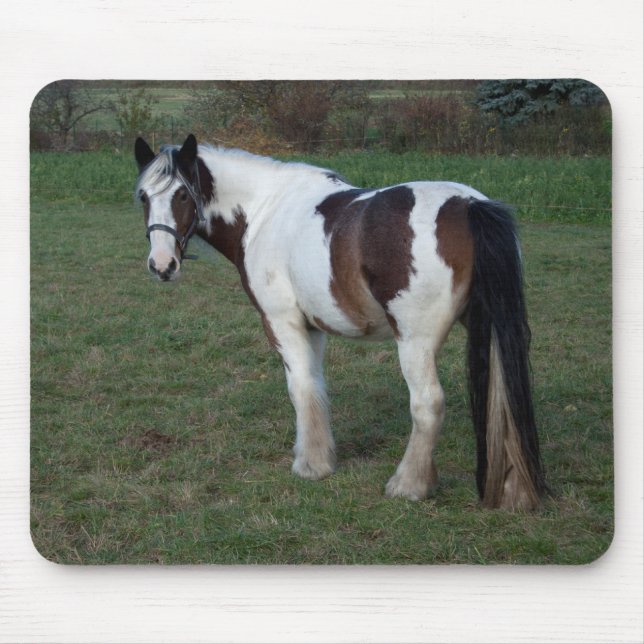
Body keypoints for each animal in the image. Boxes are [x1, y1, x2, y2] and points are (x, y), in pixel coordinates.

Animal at [134, 133, 546, 510]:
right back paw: (514, 492)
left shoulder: (282, 322)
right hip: (489, 329)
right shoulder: (313, 326)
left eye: (182, 195)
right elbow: (315, 386)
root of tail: (471, 205)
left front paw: (311, 465)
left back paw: (409, 484)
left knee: (428, 404)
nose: (162, 265)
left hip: (415, 340)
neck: (264, 209)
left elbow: (300, 387)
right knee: (502, 398)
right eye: (143, 197)